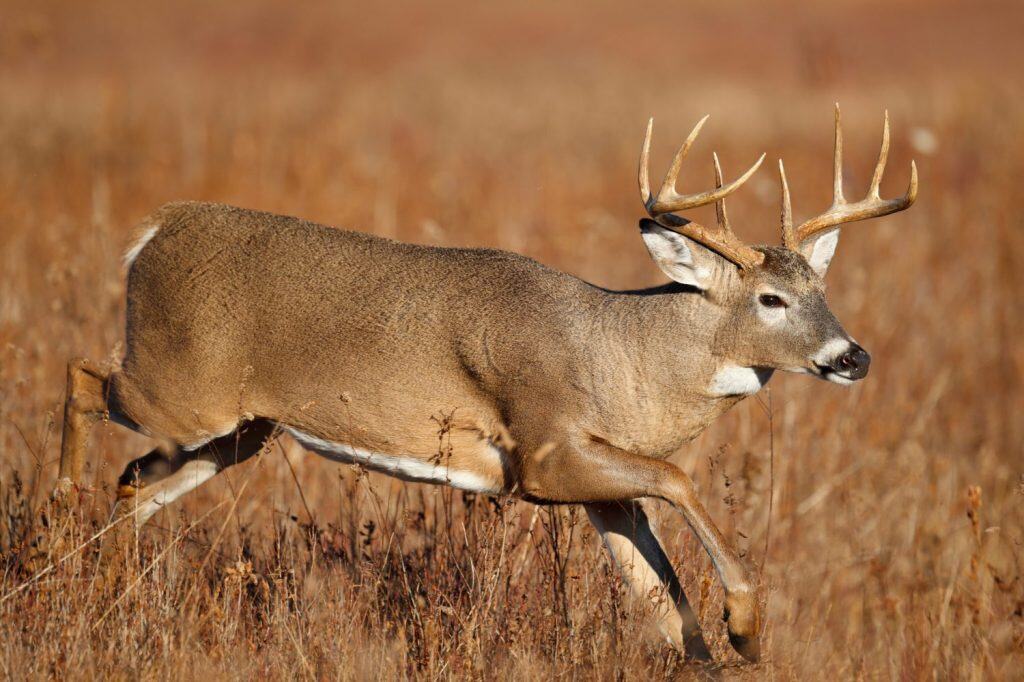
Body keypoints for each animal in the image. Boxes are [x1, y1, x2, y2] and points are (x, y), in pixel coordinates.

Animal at [56, 105, 916, 663]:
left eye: (821, 289)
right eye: (770, 299)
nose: (852, 357)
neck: (620, 356)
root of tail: (154, 230)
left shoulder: (603, 490)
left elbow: (665, 609)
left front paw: (722, 632)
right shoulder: (542, 453)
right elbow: (678, 480)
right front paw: (747, 622)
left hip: (237, 431)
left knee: (133, 483)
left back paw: (101, 589)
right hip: (181, 388)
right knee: (82, 375)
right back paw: (61, 514)